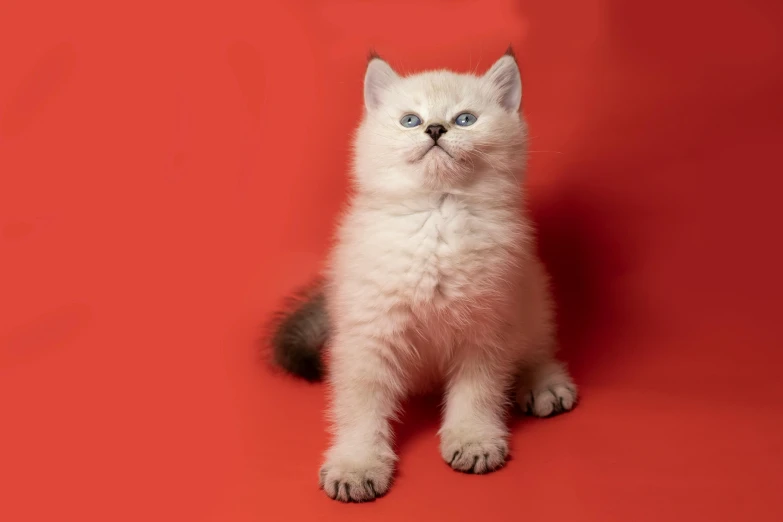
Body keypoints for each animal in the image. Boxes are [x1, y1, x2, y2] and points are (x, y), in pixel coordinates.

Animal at [272, 48, 580, 500]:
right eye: (410, 120)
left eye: (465, 119)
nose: (435, 128)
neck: (438, 216)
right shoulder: (368, 333)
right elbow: (360, 405)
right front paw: (357, 463)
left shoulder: (486, 326)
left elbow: (477, 392)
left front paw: (473, 439)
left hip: (531, 293)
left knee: (537, 346)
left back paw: (544, 384)